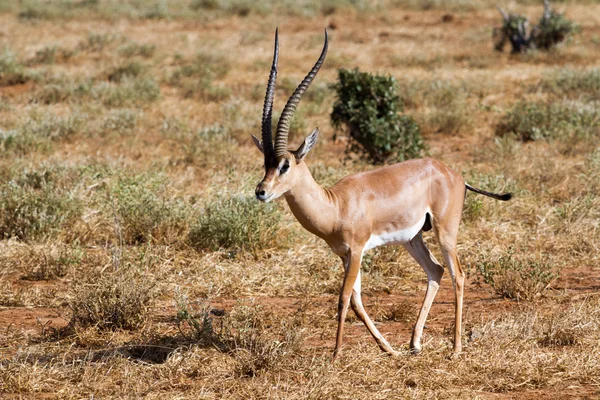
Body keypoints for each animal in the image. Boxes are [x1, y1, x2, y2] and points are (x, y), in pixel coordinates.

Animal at [252, 29, 510, 358]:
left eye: (284, 165)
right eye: (266, 163)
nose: (260, 192)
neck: (336, 205)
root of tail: (454, 174)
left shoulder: (357, 250)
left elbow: (343, 298)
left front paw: (335, 355)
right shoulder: (344, 255)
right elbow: (357, 301)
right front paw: (388, 349)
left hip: (445, 232)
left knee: (458, 275)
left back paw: (455, 348)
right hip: (413, 238)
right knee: (436, 271)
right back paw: (414, 344)